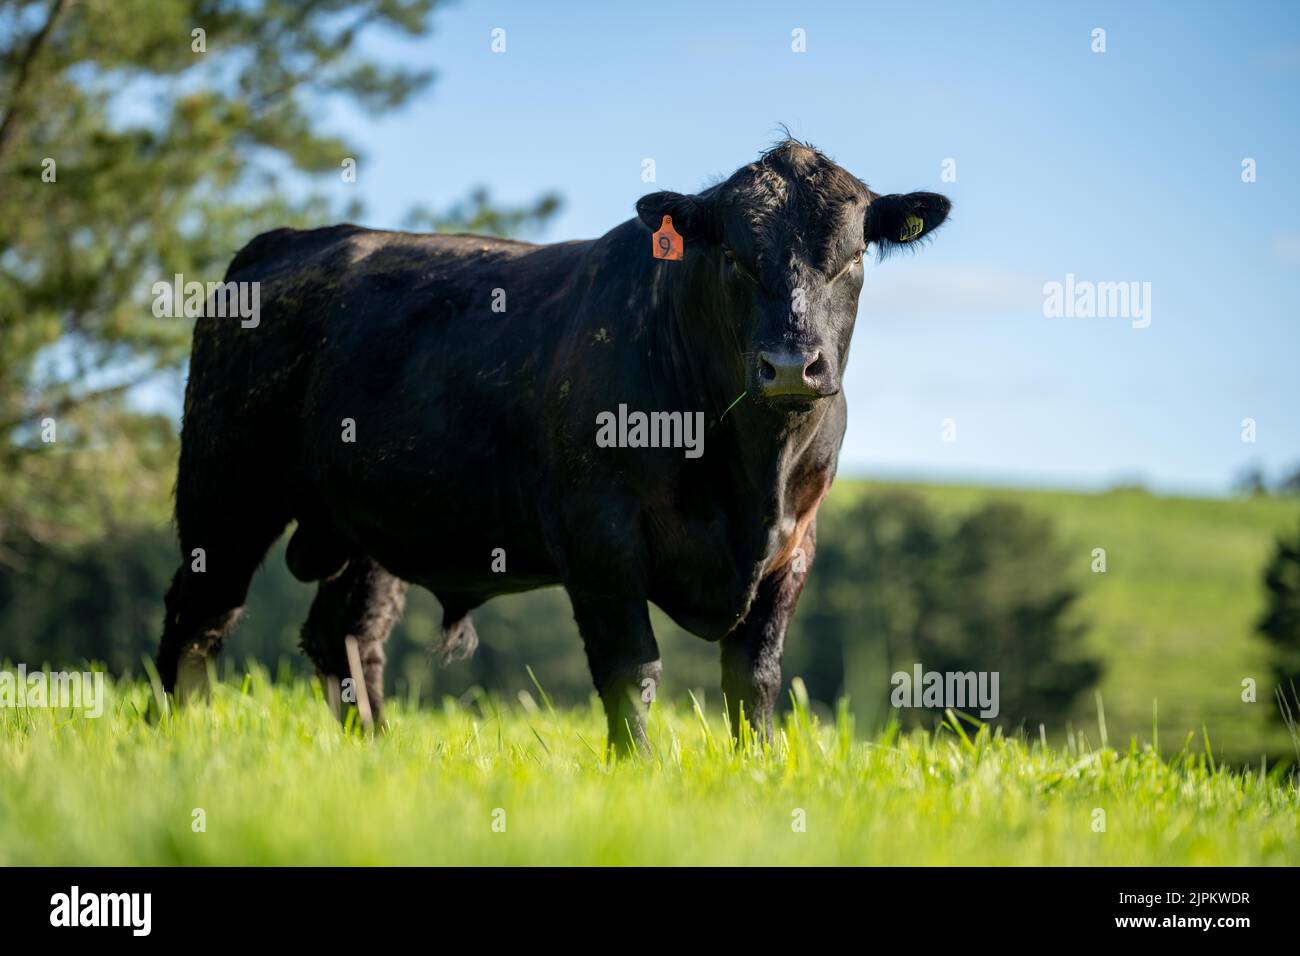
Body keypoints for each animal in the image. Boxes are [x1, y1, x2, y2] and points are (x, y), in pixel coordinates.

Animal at [156, 138, 950, 754]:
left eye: (851, 258)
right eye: (733, 256)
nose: (790, 366)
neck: (748, 470)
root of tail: (290, 240)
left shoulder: (793, 545)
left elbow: (753, 680)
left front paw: (755, 774)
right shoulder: (598, 534)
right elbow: (632, 671)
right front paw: (640, 772)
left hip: (364, 526)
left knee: (346, 635)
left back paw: (374, 757)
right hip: (225, 490)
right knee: (199, 617)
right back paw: (181, 744)